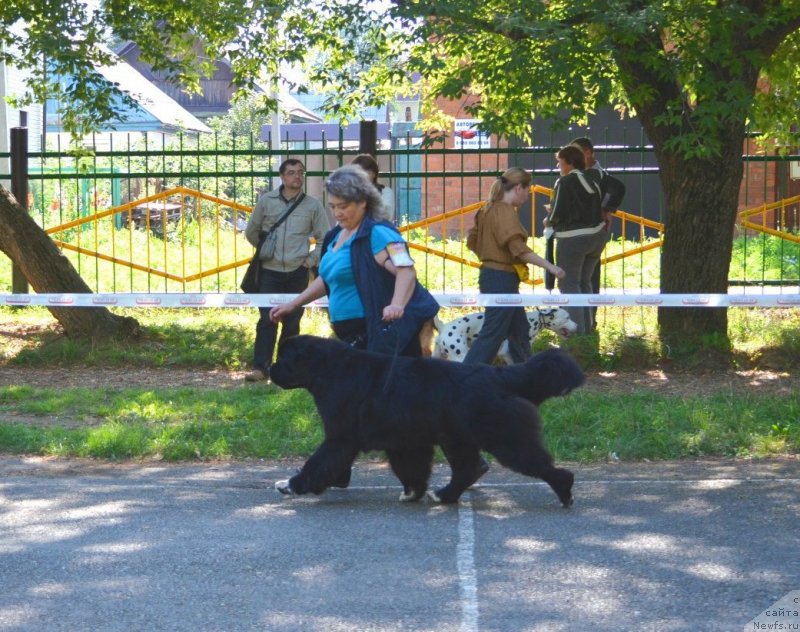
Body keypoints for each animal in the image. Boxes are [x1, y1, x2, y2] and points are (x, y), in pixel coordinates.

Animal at [268, 336, 580, 508]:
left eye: (284, 358)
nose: (271, 368)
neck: (329, 370)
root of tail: (498, 375)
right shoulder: (404, 441)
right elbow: (412, 469)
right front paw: (413, 493)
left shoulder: (340, 437)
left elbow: (318, 463)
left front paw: (291, 485)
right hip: (457, 438)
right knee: (469, 468)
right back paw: (444, 495)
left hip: (504, 438)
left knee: (538, 465)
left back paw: (565, 491)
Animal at [434, 308, 580, 362]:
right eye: (567, 318)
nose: (577, 326)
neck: (532, 320)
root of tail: (443, 327)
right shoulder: (509, 352)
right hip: (461, 356)